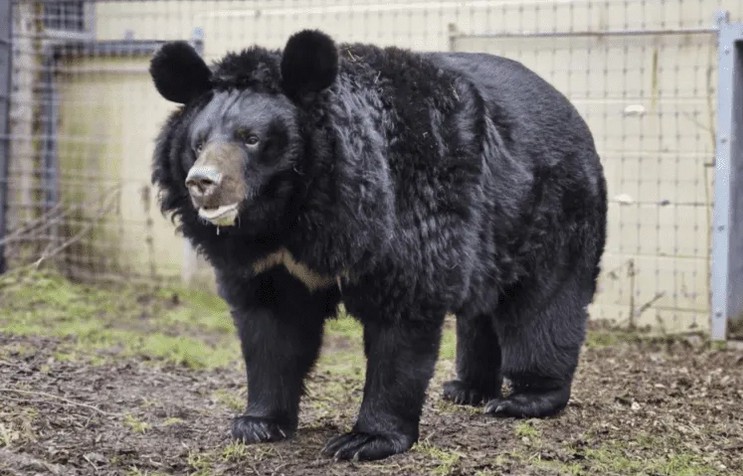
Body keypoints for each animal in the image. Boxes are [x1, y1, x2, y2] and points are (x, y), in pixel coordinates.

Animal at [148, 29, 608, 462]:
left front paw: (365, 440)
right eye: (198, 142)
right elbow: (271, 330)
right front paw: (257, 423)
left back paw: (525, 398)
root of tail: (572, 110)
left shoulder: (404, 215)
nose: (202, 182)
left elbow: (402, 321)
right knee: (482, 309)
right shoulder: (267, 263)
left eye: (252, 138)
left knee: (542, 306)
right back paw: (466, 388)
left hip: (553, 210)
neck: (292, 216)